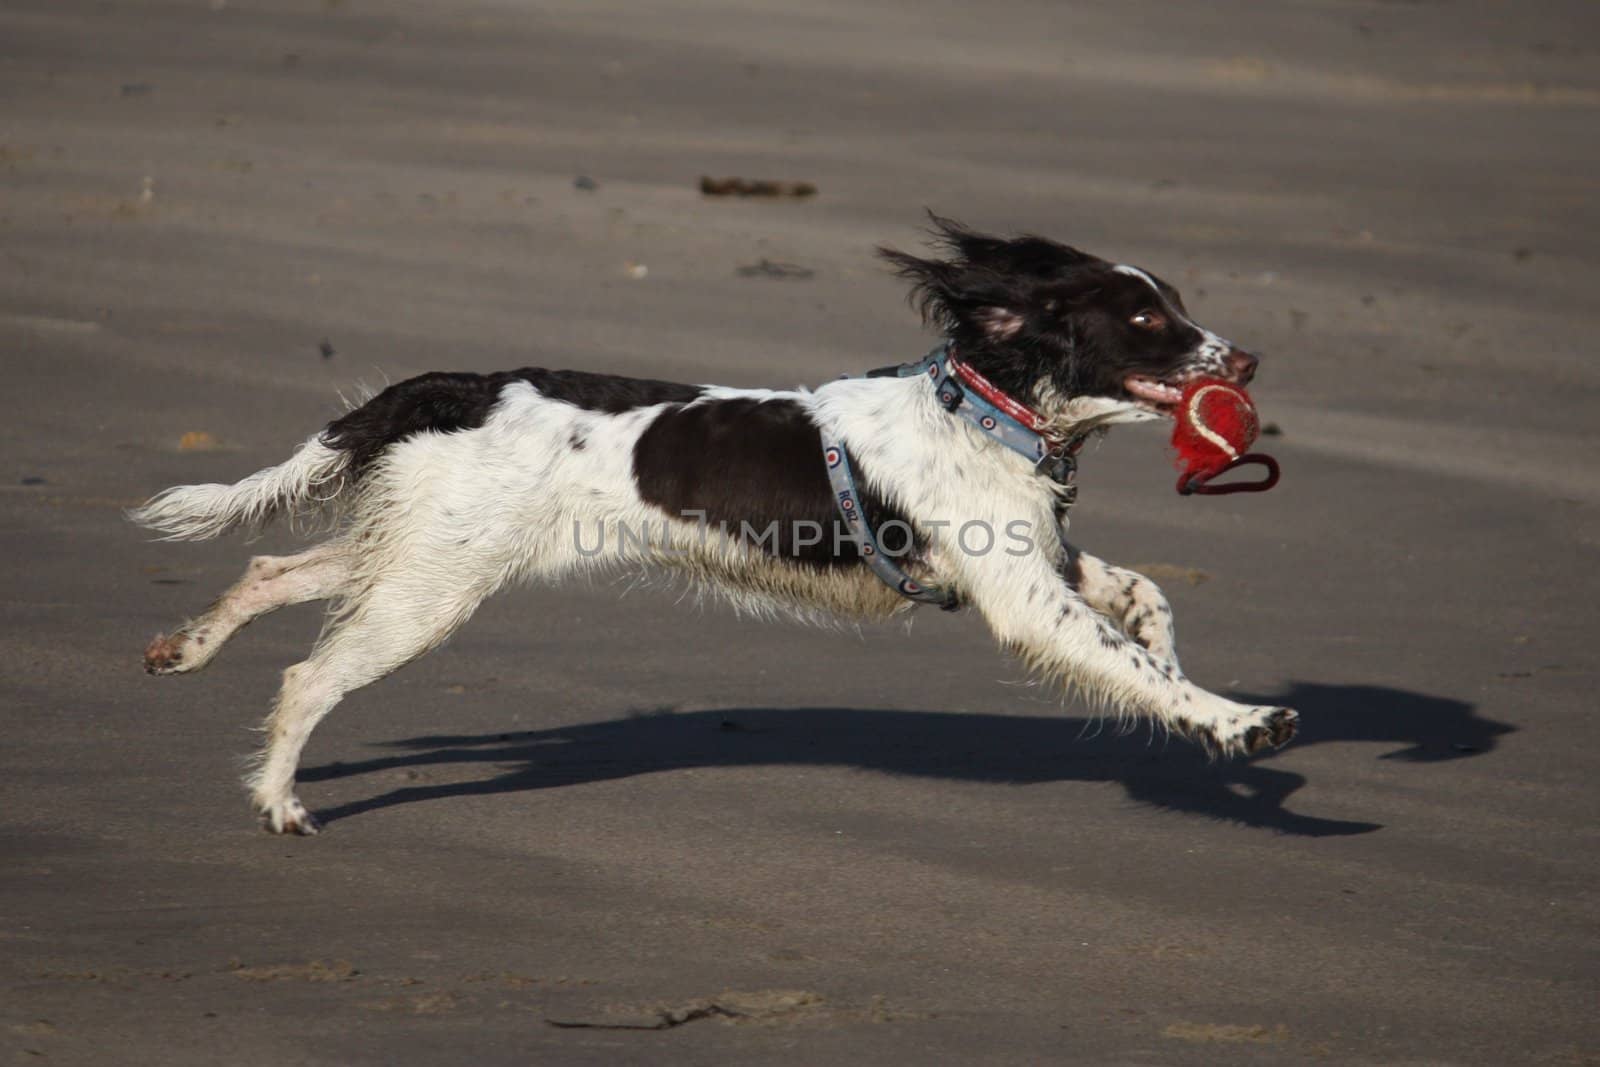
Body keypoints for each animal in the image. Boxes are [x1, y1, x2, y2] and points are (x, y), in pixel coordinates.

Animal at [131, 217, 1292, 831]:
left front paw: (1191, 684)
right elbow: (1132, 662)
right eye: (1145, 319)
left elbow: (1144, 600)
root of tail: (449, 384)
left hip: (421, 552)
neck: (984, 411)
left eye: (1174, 303)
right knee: (308, 674)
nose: (1244, 361)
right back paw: (279, 801)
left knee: (274, 568)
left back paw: (185, 648)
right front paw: (1237, 721)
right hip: (432, 588)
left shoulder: (1032, 557)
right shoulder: (1023, 597)